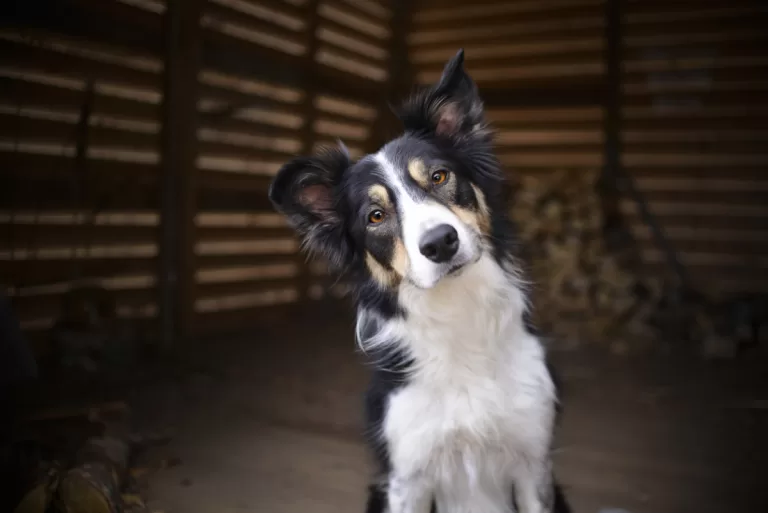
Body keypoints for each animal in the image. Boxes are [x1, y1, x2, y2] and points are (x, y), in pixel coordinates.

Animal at [268, 49, 568, 512]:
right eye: (375, 216)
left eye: (439, 177)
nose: (440, 243)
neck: (458, 313)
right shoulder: (406, 477)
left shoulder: (533, 463)